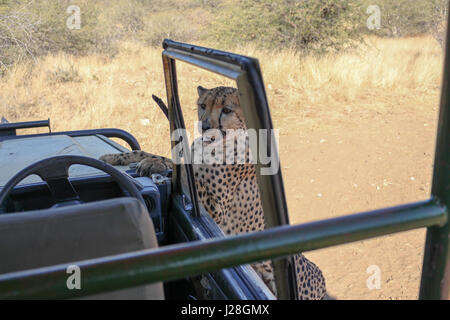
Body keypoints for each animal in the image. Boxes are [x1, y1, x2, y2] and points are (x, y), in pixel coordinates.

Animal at [100, 85, 326, 300]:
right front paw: (118, 157)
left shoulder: (215, 209)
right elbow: (161, 156)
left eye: (226, 110)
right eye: (203, 106)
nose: (205, 126)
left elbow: (184, 169)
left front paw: (153, 163)